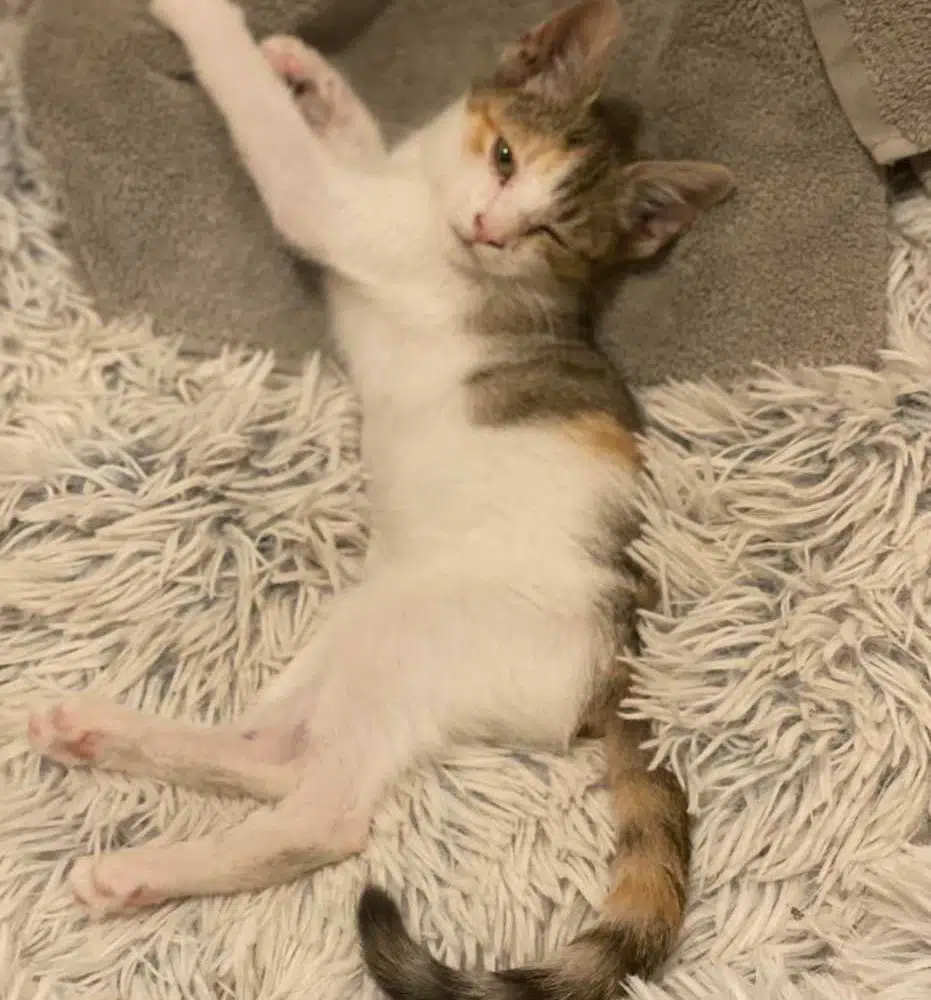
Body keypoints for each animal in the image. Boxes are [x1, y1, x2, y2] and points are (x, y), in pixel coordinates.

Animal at [25, 1, 734, 997]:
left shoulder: (330, 210)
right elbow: (353, 132)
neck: (428, 202)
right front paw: (309, 74)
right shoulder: (385, 178)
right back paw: (95, 733)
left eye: (553, 234)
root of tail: (628, 660)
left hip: (419, 635)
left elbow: (265, 126)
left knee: (328, 813)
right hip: (358, 621)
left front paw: (219, 31)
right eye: (503, 156)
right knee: (277, 756)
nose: (486, 227)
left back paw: (137, 871)